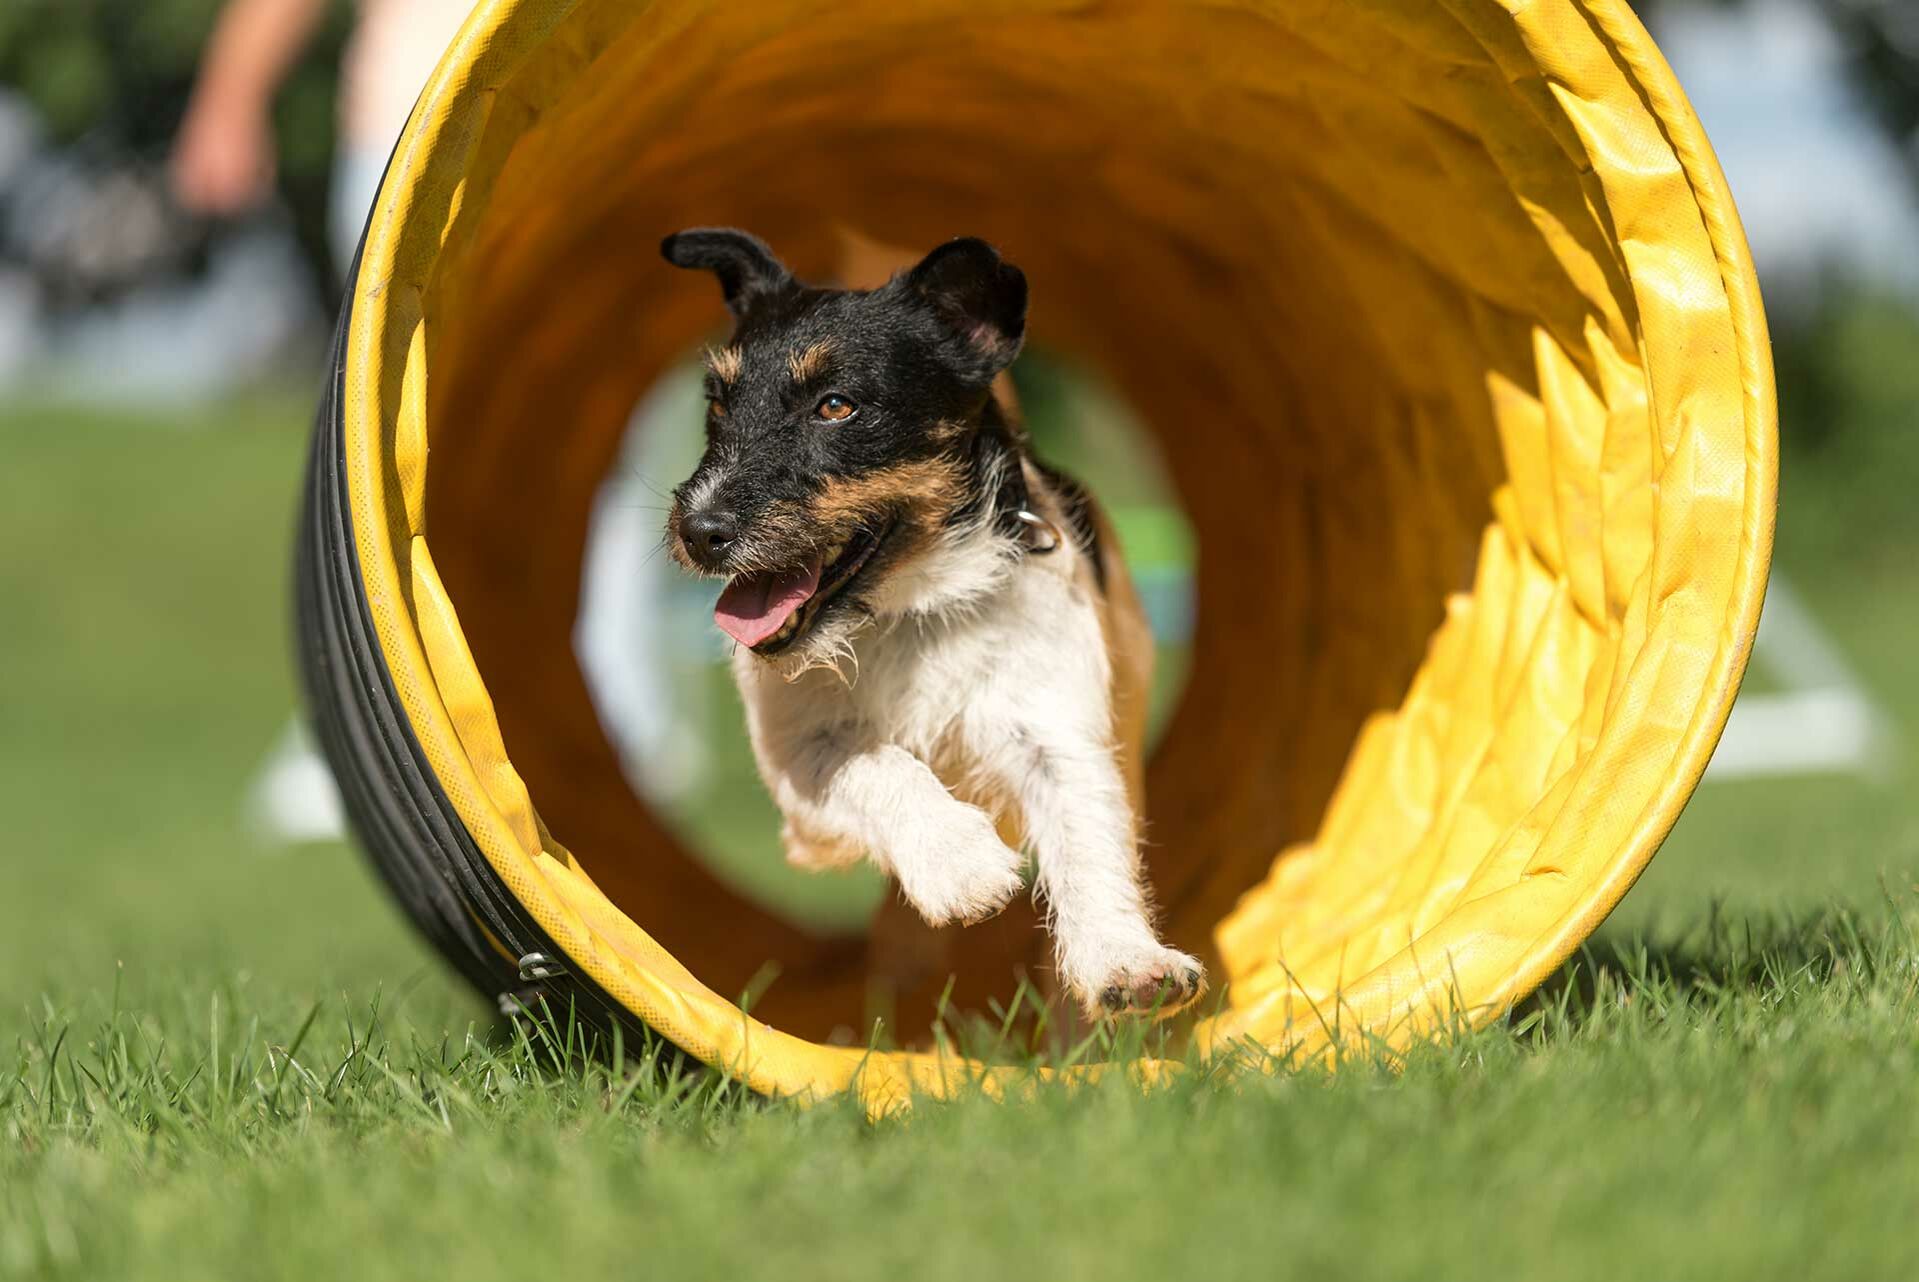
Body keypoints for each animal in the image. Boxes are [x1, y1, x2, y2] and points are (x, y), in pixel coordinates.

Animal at [660, 225, 1197, 1013]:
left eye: (836, 405)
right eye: (719, 404)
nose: (699, 531)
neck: (911, 609)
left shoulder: (1056, 731)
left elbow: (1087, 837)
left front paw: (1125, 959)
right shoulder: (800, 773)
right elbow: (874, 761)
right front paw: (961, 864)